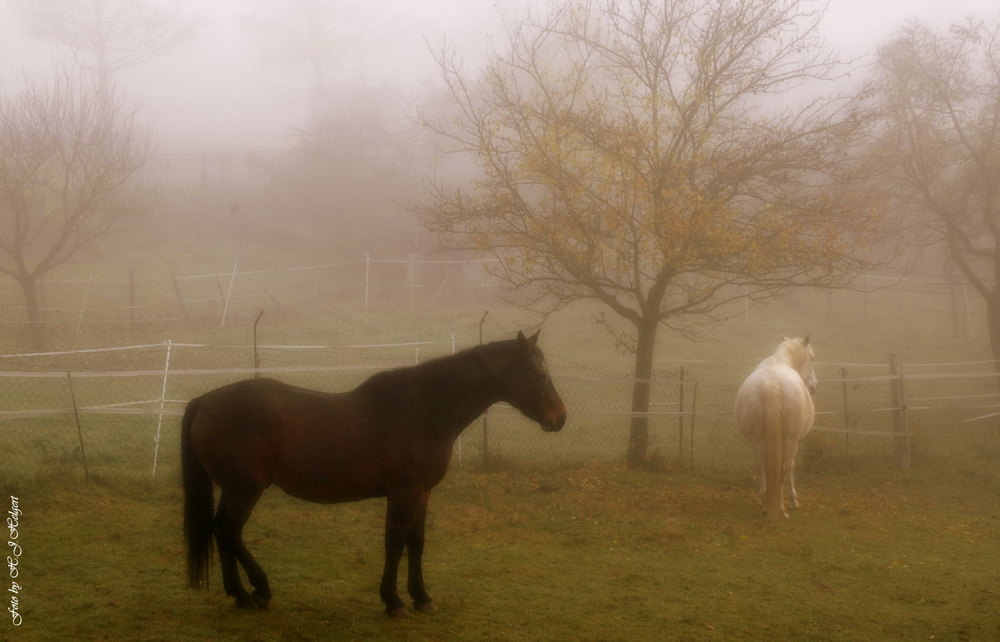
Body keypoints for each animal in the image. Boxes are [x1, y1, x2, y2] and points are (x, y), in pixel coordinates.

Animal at [183, 330, 568, 616]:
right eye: (539, 373)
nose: (560, 418)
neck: (424, 410)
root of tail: (206, 401)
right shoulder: (403, 492)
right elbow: (394, 543)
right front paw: (393, 601)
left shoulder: (423, 492)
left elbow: (416, 542)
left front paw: (422, 598)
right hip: (244, 489)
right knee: (228, 531)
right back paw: (258, 590)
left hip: (235, 490)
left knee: (223, 532)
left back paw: (240, 594)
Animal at [732, 338, 816, 516]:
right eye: (812, 358)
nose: (813, 386)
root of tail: (770, 386)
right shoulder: (793, 441)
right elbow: (791, 467)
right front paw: (794, 500)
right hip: (790, 441)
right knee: (785, 467)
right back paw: (783, 506)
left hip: (759, 441)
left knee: (763, 465)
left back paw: (765, 502)